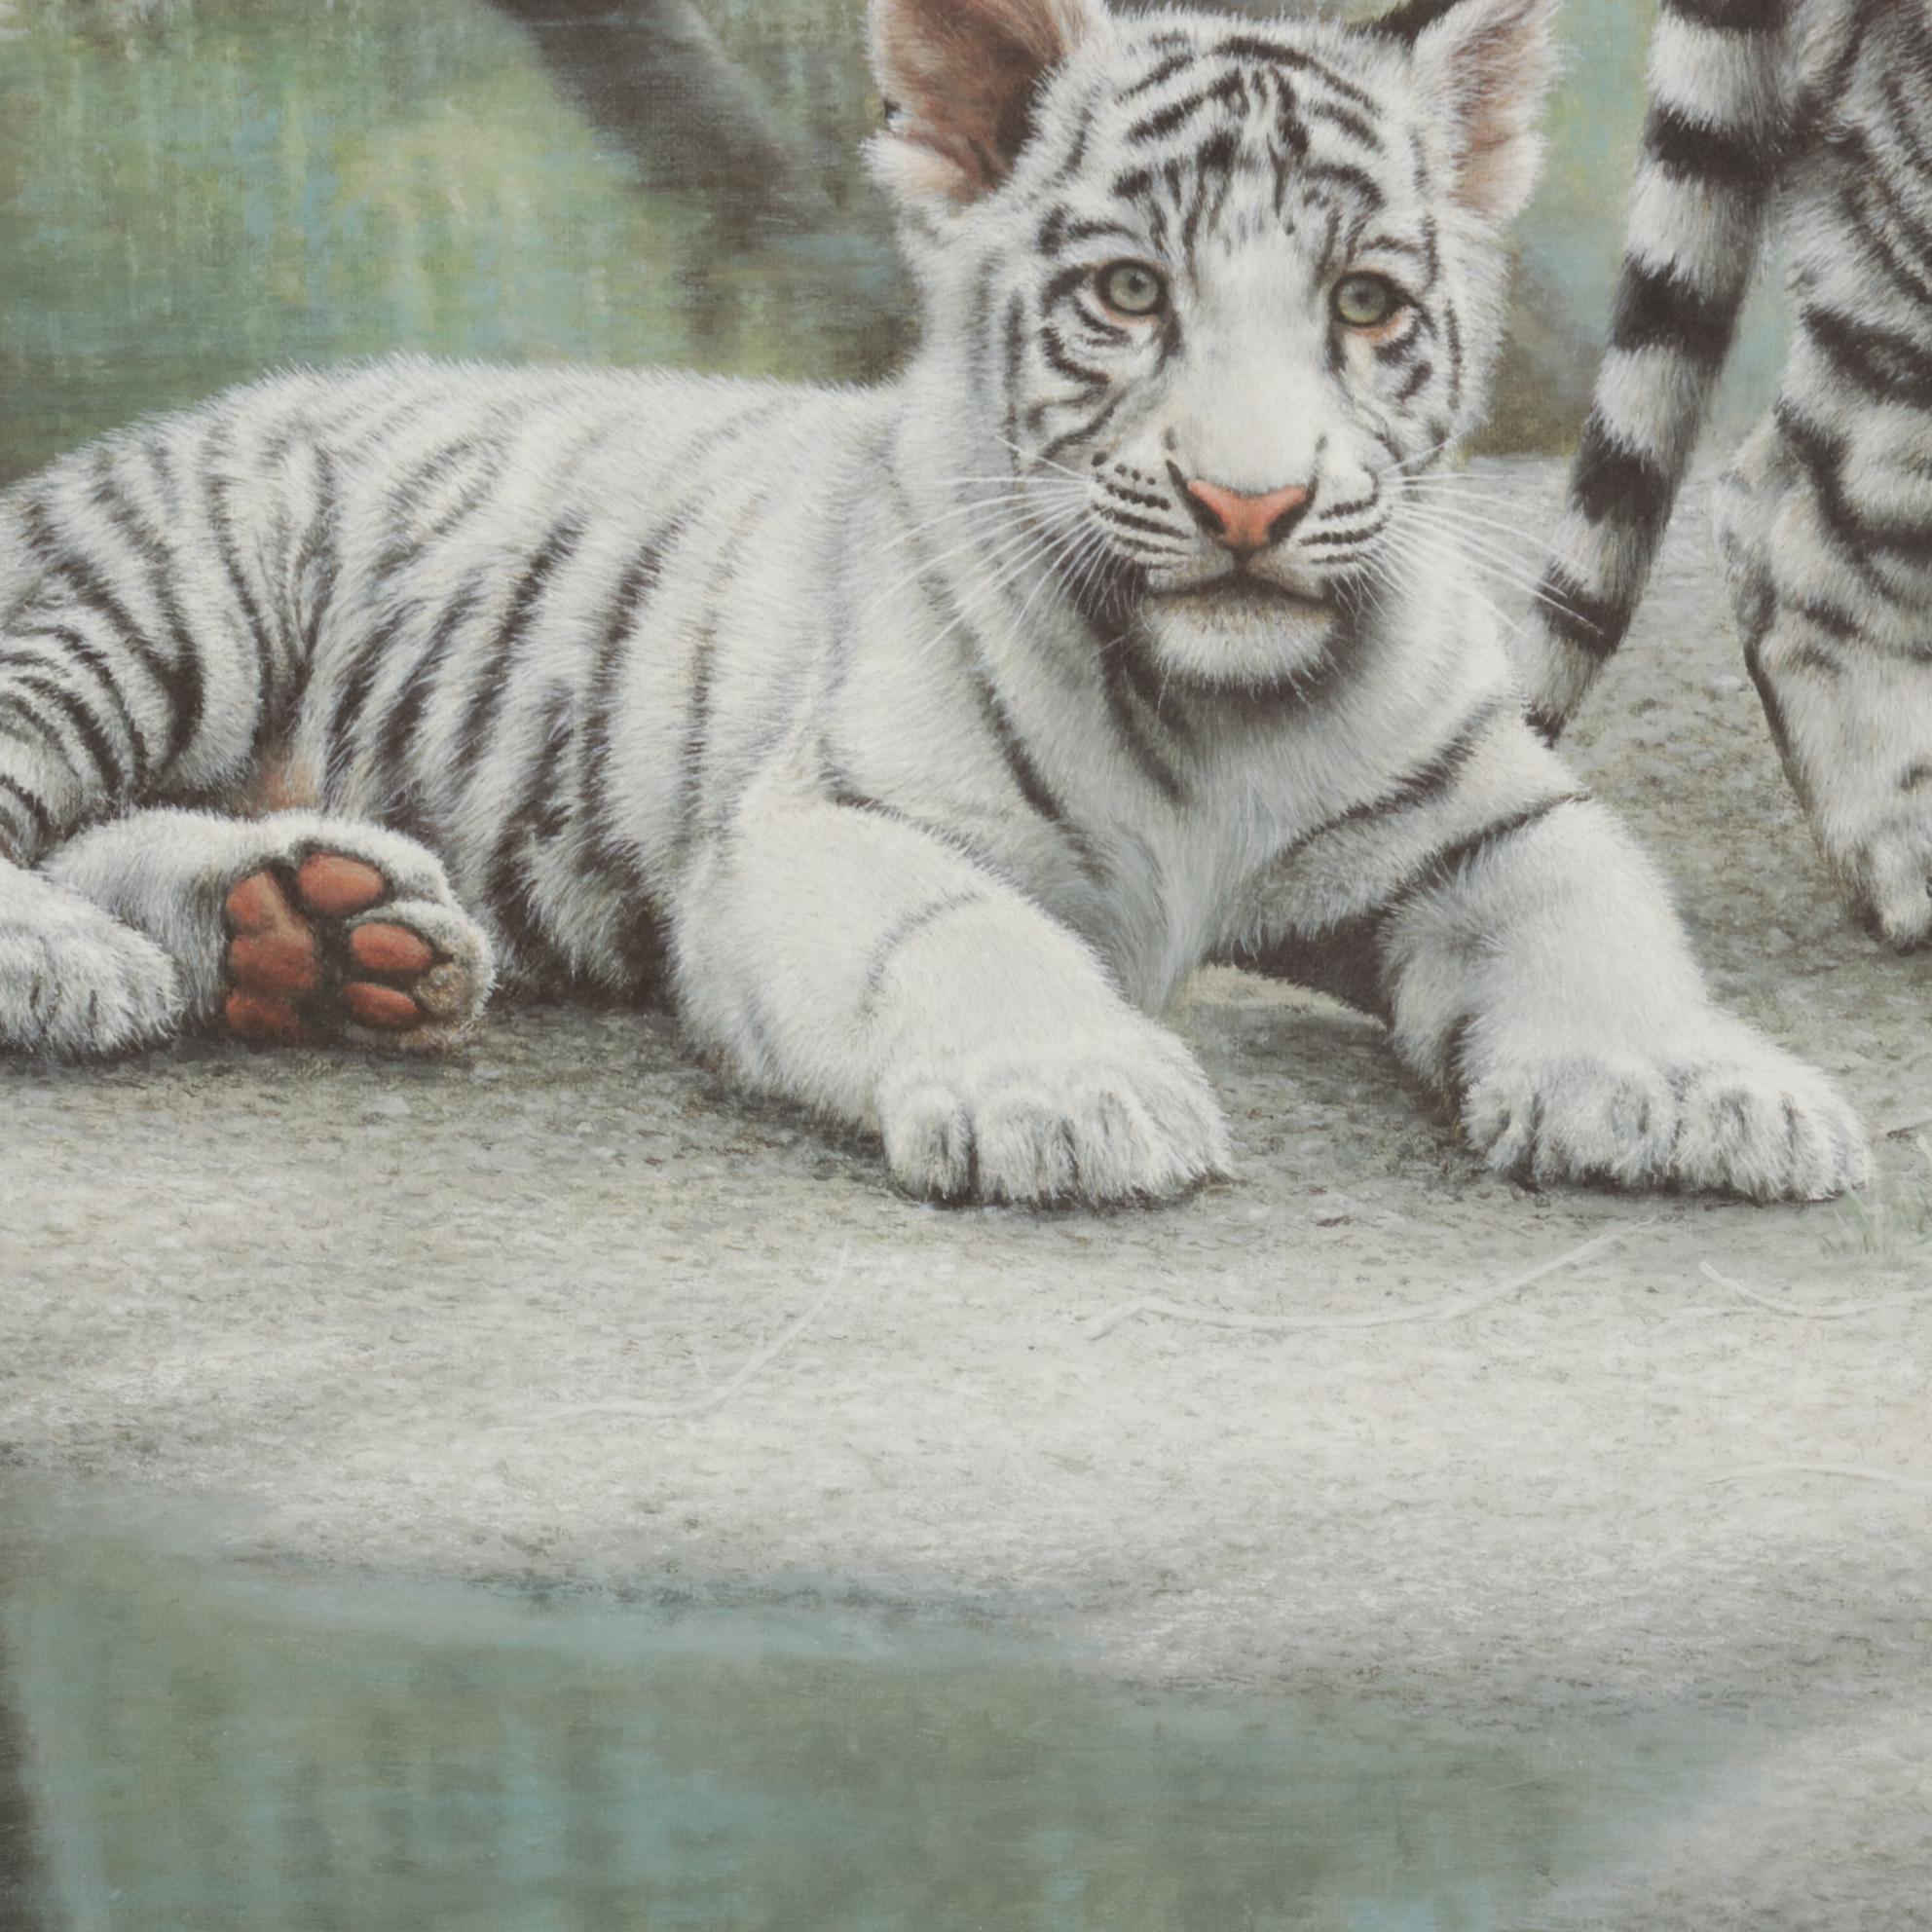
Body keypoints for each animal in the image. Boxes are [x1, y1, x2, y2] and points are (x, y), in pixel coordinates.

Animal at [0, 0, 1869, 1205]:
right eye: (1127, 296)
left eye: (1364, 304)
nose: (1249, 506)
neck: (1220, 705)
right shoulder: (824, 823)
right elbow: (962, 929)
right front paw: (1071, 1091)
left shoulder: (1480, 819)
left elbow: (1595, 922)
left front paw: (1685, 1082)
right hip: (153, 602)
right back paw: (89, 962)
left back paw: (314, 935)